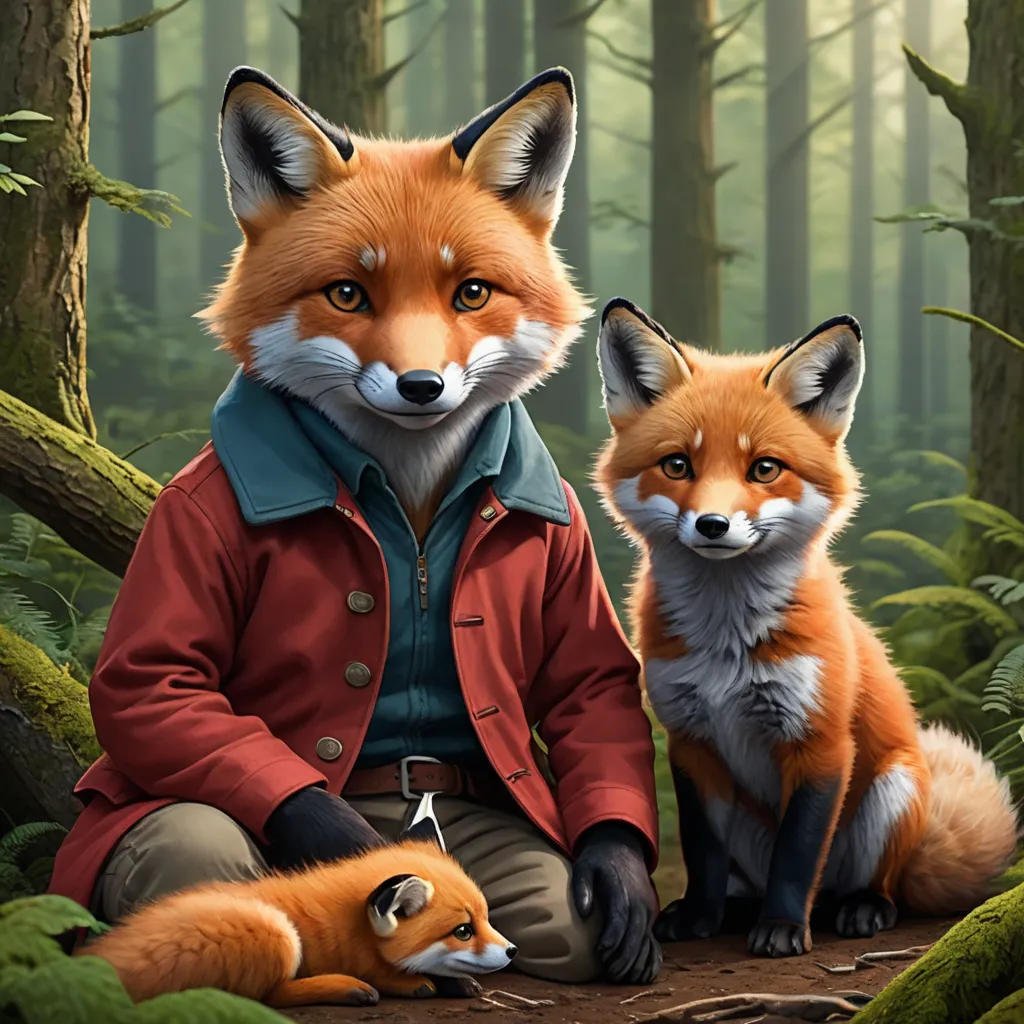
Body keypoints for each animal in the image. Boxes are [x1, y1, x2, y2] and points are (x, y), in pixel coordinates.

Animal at [79, 836, 516, 1007]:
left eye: (486, 918)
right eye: (463, 931)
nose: (513, 951)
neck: (348, 926)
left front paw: (455, 981)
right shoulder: (358, 955)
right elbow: (392, 972)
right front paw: (416, 982)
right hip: (276, 934)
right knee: (266, 996)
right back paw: (349, 989)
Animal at [594, 297, 1019, 958]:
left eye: (765, 468)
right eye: (678, 465)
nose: (712, 524)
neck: (728, 645)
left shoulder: (819, 743)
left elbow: (797, 858)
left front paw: (784, 928)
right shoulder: (691, 742)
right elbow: (703, 851)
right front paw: (701, 917)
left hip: (891, 792)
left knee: (870, 885)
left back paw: (860, 908)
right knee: (748, 874)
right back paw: (736, 909)